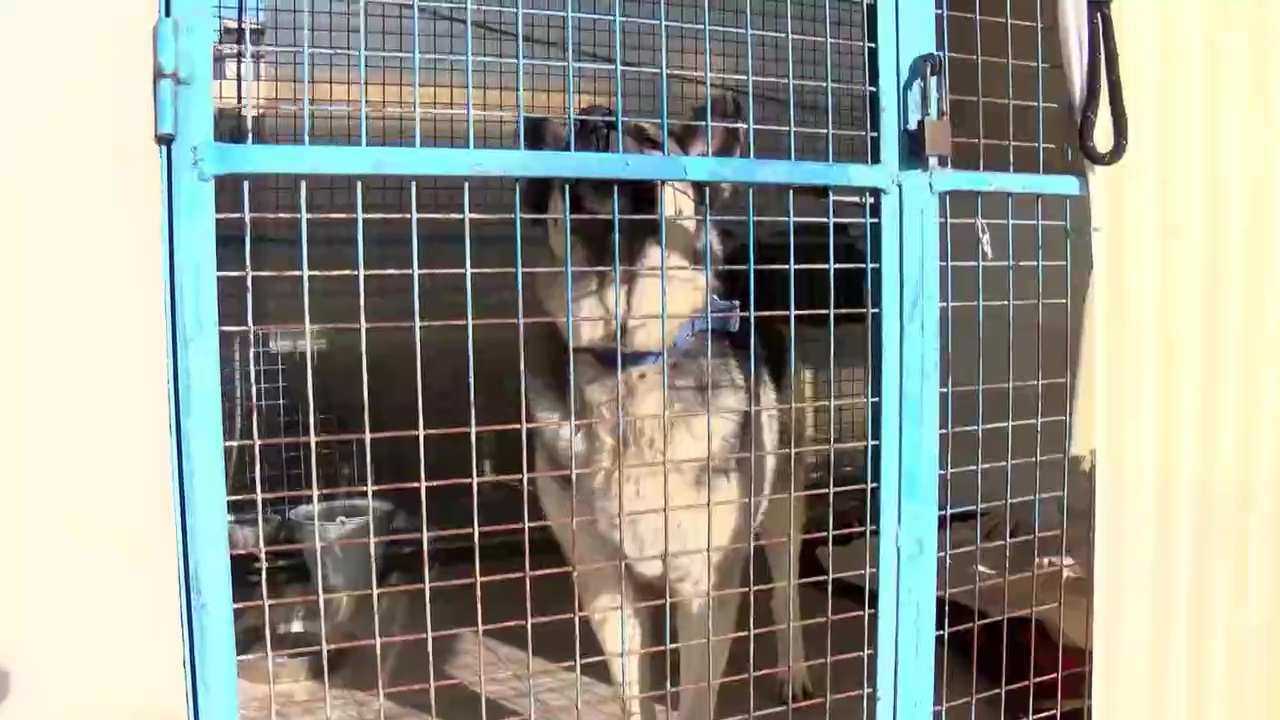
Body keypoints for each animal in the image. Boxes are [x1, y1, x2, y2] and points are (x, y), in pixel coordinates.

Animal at [517, 95, 808, 717]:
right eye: (572, 133)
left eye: (648, 139)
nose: (593, 122)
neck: (631, 361)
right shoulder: (603, 582)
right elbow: (633, 688)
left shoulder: (705, 585)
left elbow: (697, 692)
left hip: (782, 501)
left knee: (785, 588)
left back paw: (793, 669)